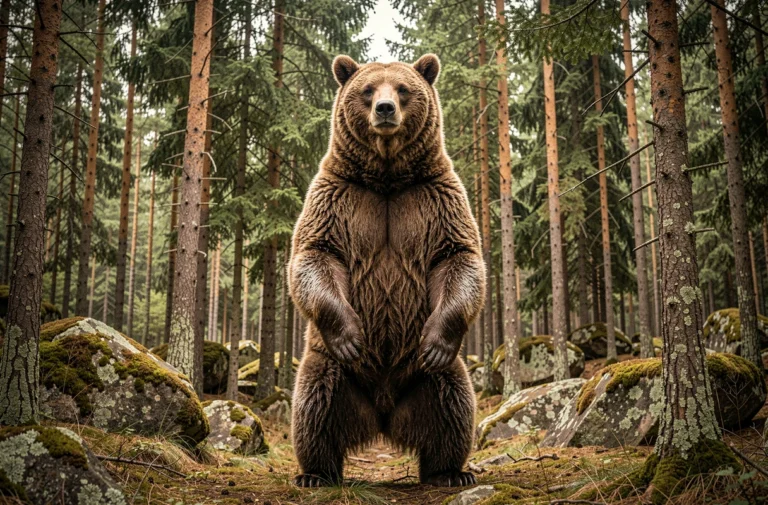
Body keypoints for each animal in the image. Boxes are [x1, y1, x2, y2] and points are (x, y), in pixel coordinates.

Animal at [288, 53, 485, 488]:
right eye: (367, 89)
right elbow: (314, 255)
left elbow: (458, 256)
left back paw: (450, 471)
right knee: (314, 406)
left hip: (429, 377)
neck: (387, 175)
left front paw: (435, 341)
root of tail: (382, 417)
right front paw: (351, 336)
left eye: (403, 88)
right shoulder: (337, 196)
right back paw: (316, 473)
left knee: (454, 405)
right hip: (329, 366)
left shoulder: (436, 197)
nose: (384, 109)